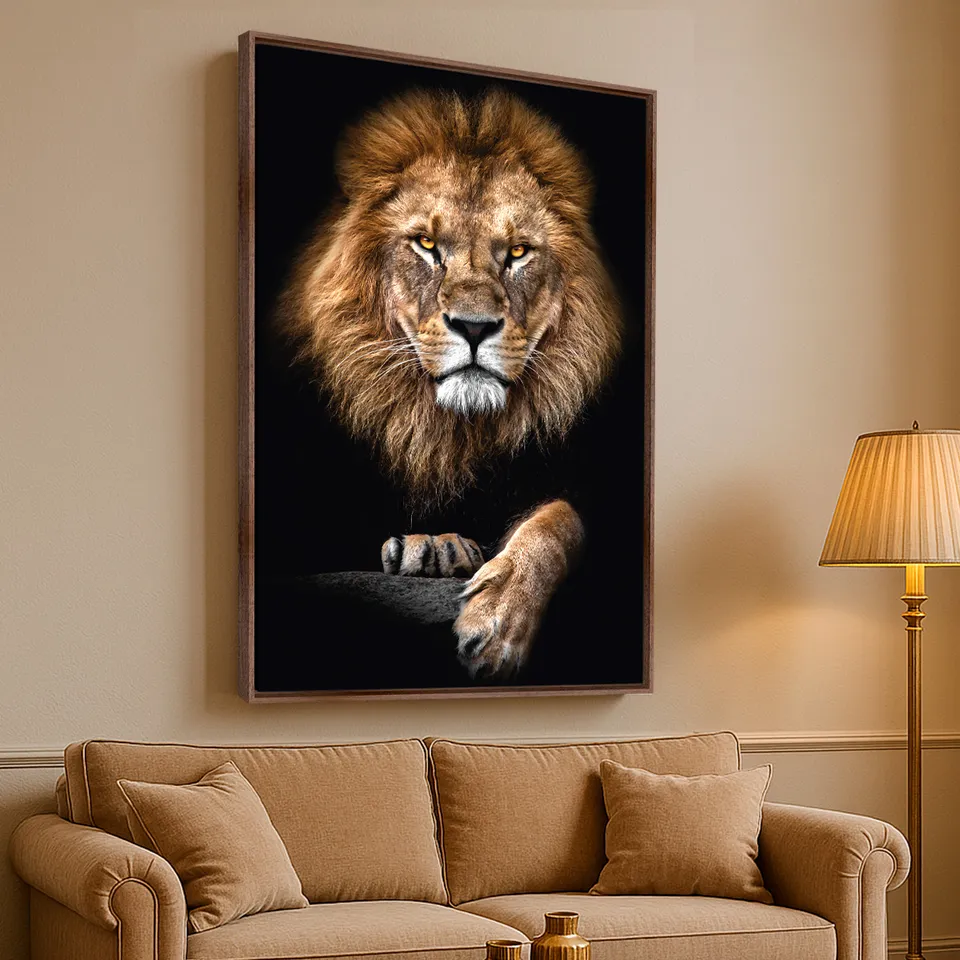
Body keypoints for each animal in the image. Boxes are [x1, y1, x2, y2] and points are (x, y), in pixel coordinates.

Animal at [279, 88, 622, 679]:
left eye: (517, 252)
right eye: (425, 244)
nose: (475, 326)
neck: (452, 431)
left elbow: (558, 521)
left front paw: (499, 618)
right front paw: (435, 545)